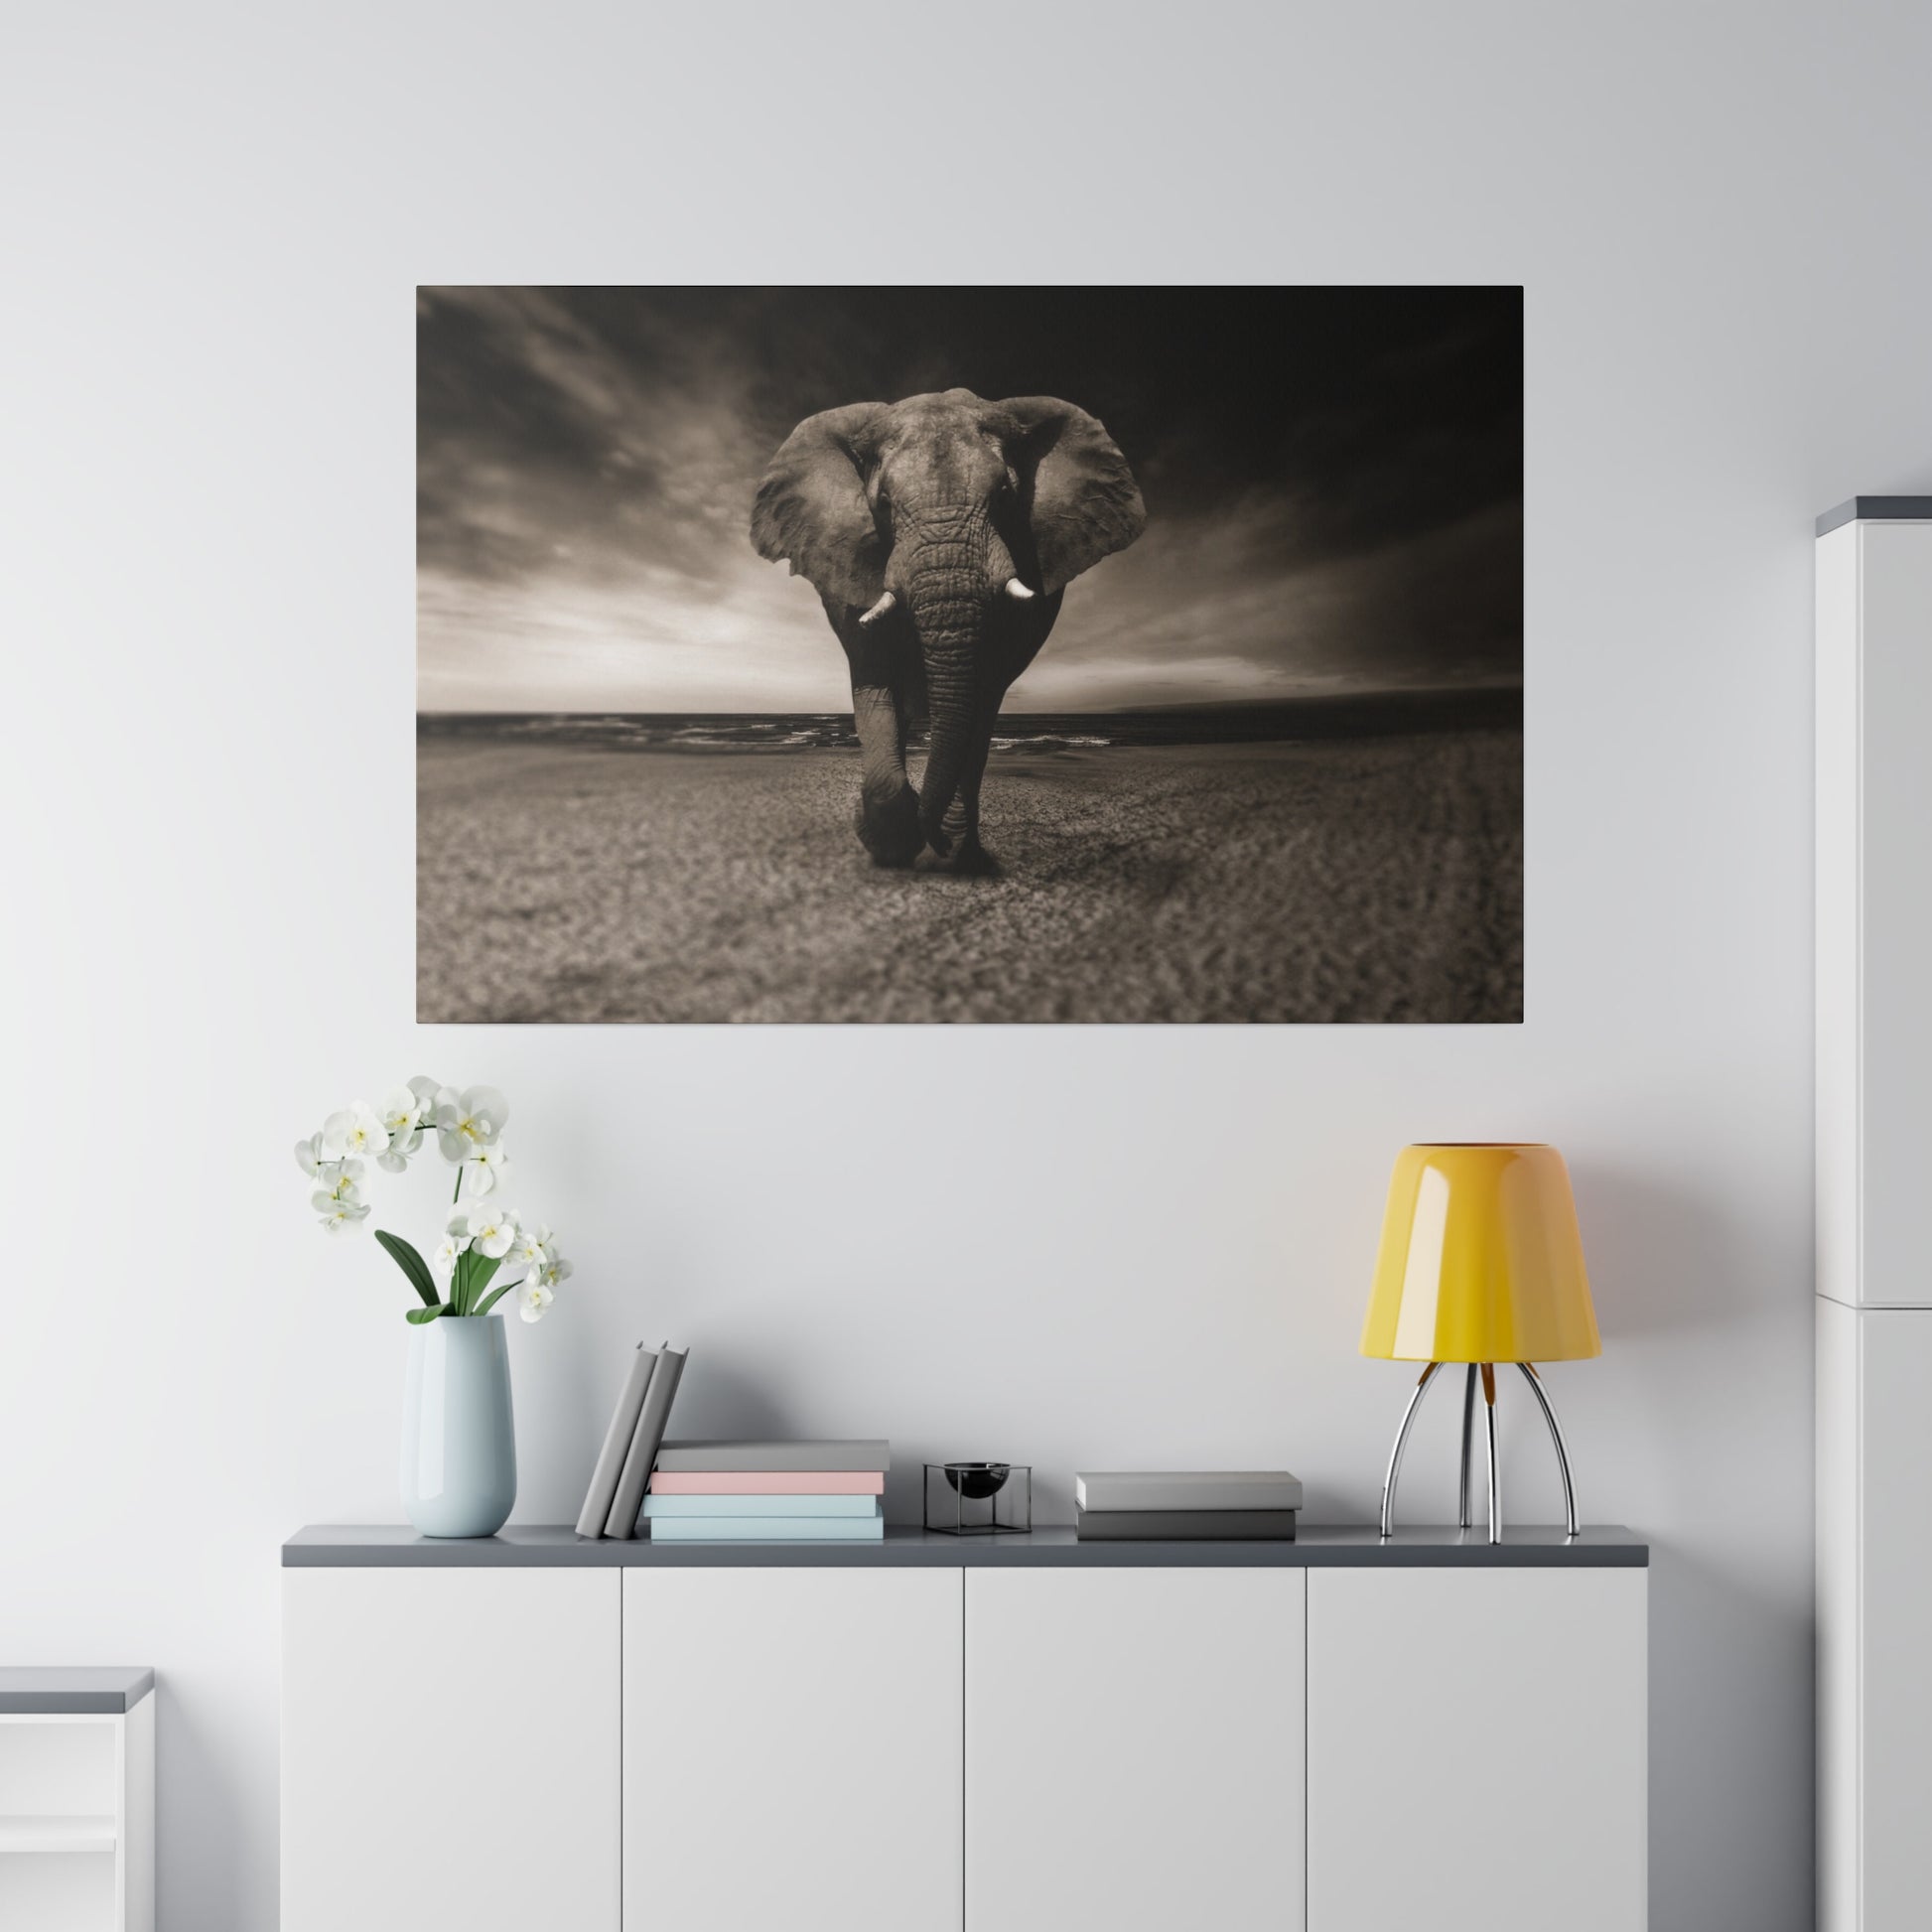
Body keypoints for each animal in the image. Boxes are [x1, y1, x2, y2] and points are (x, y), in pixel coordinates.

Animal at [750, 384, 1144, 869]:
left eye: (1005, 496)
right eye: (883, 504)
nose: (932, 835)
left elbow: (981, 695)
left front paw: (947, 849)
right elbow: (874, 677)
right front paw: (892, 844)